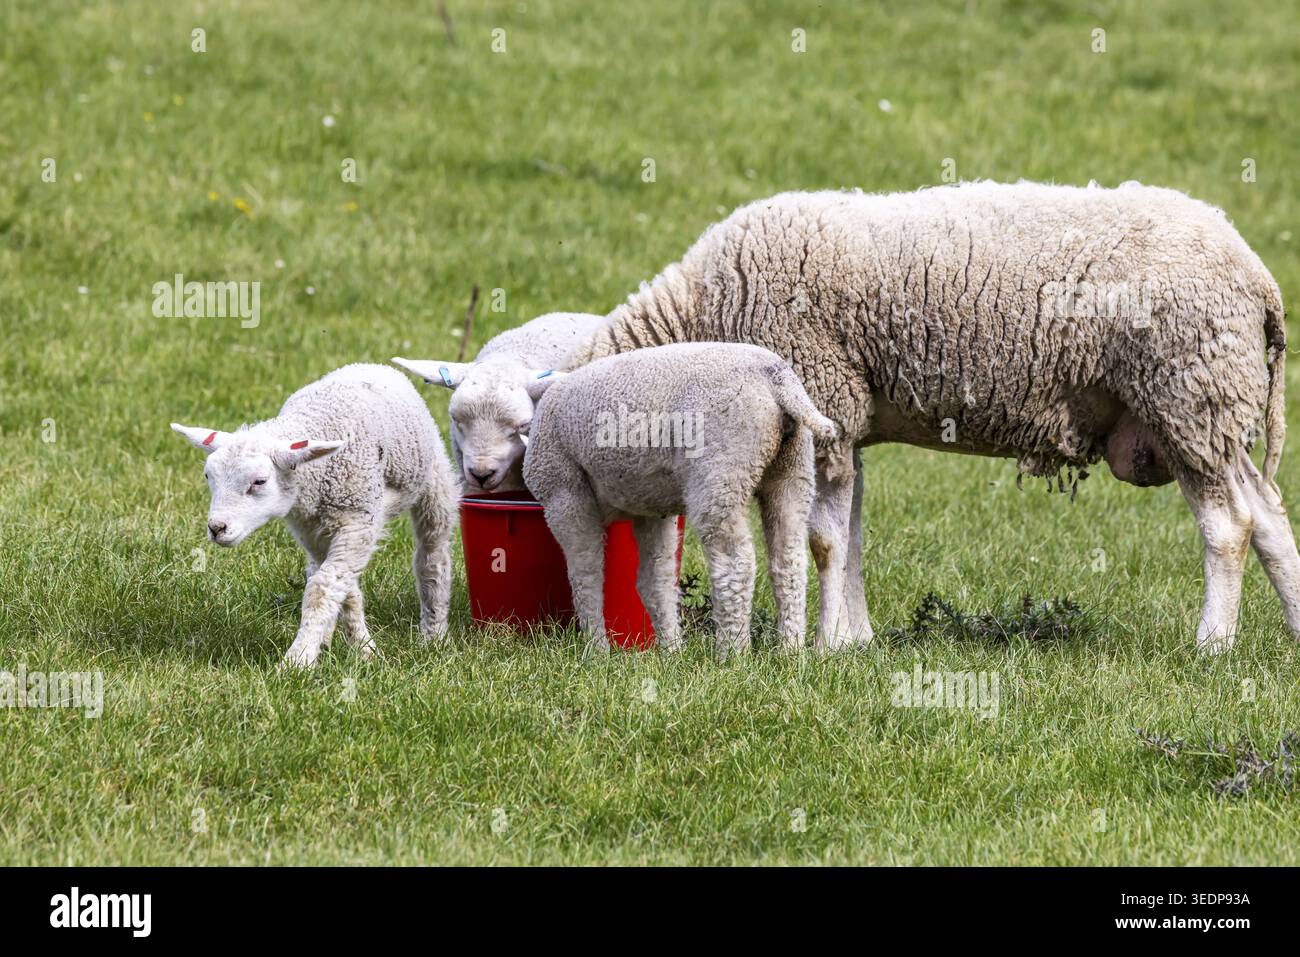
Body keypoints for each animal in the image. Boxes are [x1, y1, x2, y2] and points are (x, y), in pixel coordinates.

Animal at [170, 363, 458, 667]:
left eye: (259, 481)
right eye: (208, 476)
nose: (217, 528)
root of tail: (370, 365)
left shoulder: (358, 522)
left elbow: (322, 588)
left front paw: (299, 660)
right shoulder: (312, 530)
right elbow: (340, 588)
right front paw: (360, 648)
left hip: (434, 481)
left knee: (432, 557)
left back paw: (434, 634)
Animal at [522, 342, 840, 656]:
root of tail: (778, 379)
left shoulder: (565, 495)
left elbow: (585, 575)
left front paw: (596, 649)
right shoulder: (651, 508)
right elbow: (656, 580)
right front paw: (671, 649)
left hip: (721, 470)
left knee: (735, 563)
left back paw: (732, 653)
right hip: (792, 472)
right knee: (789, 562)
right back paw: (790, 650)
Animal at [562, 181, 1294, 653]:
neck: (700, 320)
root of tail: (1256, 274)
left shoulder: (826, 399)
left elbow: (822, 541)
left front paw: (825, 646)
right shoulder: (845, 421)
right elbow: (850, 537)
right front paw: (854, 640)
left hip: (1187, 395)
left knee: (1229, 526)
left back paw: (1212, 645)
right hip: (1212, 408)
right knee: (1269, 515)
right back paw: (1289, 629)